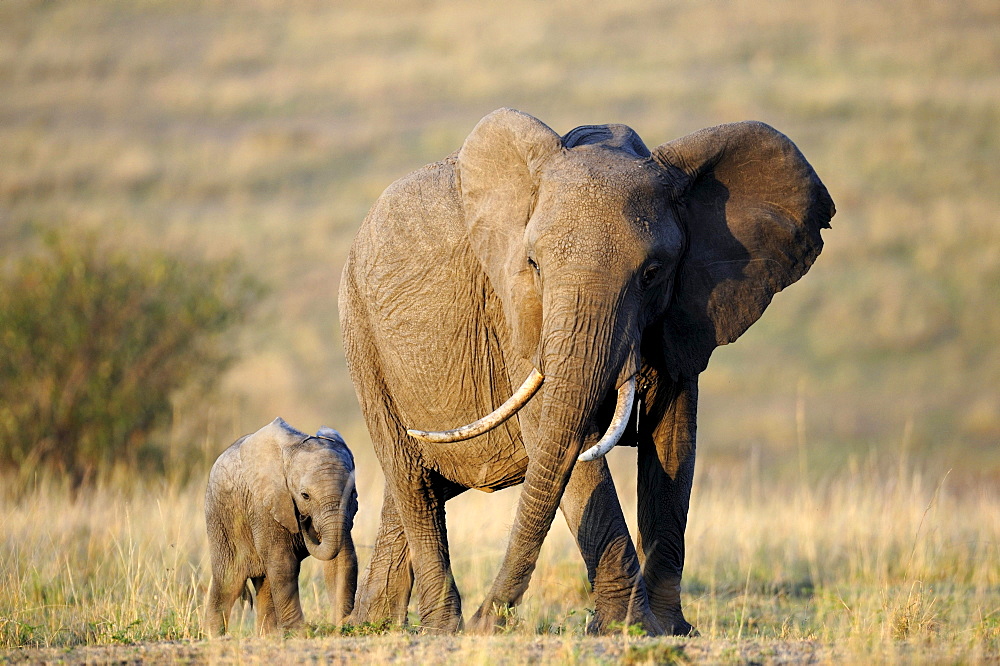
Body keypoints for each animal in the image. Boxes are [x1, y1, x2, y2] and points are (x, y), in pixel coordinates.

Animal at [203, 418, 360, 636]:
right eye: (305, 496)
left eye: (352, 492)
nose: (304, 521)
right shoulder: (264, 505)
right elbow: (284, 564)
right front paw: (299, 632)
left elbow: (342, 560)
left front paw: (341, 625)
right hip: (220, 519)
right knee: (228, 580)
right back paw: (213, 636)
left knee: (265, 583)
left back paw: (267, 636)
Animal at [340, 106, 832, 632]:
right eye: (533, 264)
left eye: (652, 273)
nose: (487, 619)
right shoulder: (516, 315)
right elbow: (569, 444)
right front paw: (627, 628)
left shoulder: (685, 313)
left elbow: (675, 446)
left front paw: (669, 630)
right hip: (362, 334)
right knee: (411, 481)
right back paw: (440, 629)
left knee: (415, 489)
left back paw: (373, 624)